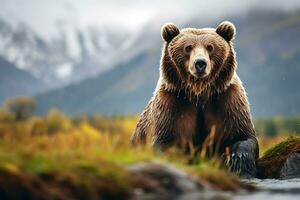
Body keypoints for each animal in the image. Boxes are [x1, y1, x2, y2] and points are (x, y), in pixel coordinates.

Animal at [131, 21, 258, 177]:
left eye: (210, 47)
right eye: (188, 47)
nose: (200, 63)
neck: (199, 92)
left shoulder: (227, 100)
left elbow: (242, 135)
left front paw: (238, 162)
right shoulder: (172, 103)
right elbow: (164, 140)